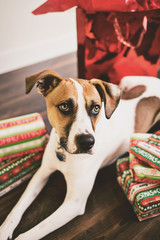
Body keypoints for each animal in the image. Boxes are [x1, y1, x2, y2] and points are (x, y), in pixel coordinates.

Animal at [0, 68, 159, 239]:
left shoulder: (74, 203)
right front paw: (4, 230)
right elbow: (17, 208)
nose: (87, 142)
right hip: (125, 82)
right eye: (64, 106)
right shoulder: (42, 172)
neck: (65, 153)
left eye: (96, 108)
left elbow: (30, 233)